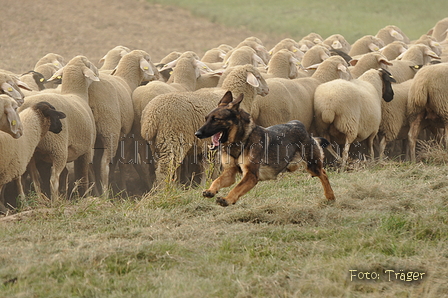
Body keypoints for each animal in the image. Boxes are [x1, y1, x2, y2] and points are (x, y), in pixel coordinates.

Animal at [140, 64, 268, 186]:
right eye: (258, 77)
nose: (267, 90)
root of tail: (150, 117)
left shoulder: (207, 146)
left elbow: (206, 167)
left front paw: (204, 183)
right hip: (172, 139)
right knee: (164, 169)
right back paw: (165, 189)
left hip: (158, 144)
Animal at [194, 91, 334, 207]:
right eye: (206, 118)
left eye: (216, 119)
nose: (197, 134)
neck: (242, 140)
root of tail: (300, 125)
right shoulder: (230, 172)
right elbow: (217, 181)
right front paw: (211, 190)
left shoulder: (251, 175)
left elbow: (237, 188)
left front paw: (227, 199)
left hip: (311, 165)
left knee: (323, 174)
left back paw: (330, 196)